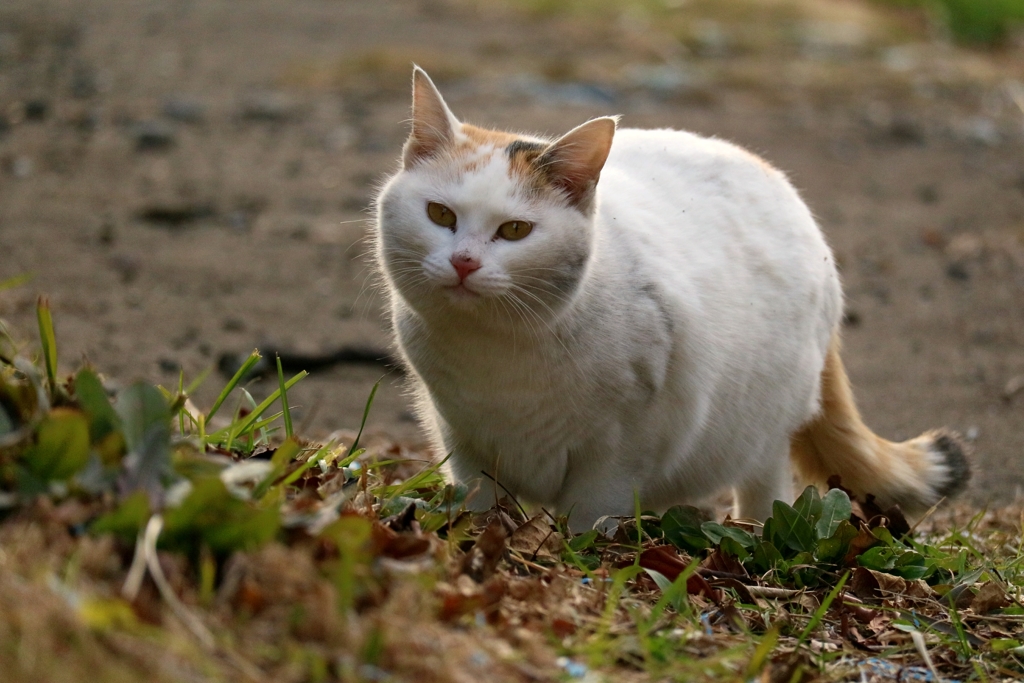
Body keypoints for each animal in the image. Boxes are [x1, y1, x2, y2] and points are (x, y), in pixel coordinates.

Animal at [372, 66, 970, 532]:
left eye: (515, 230)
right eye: (440, 215)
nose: (464, 262)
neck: (497, 353)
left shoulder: (622, 449)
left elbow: (588, 516)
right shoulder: (462, 441)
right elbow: (481, 506)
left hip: (764, 426)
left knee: (768, 485)